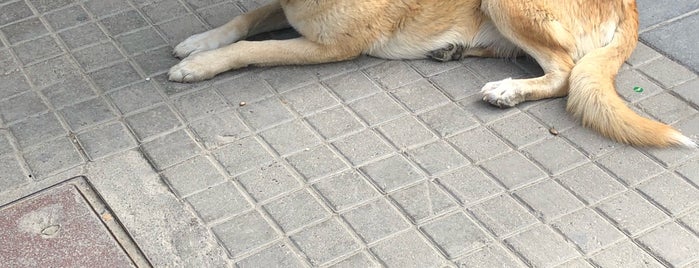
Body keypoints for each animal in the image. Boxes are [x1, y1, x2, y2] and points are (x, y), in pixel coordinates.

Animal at [168, 0, 696, 148]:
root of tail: (631, 4)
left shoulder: (328, 46)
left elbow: (251, 47)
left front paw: (199, 64)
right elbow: (245, 19)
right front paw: (198, 43)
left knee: (564, 71)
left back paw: (508, 90)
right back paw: (455, 50)